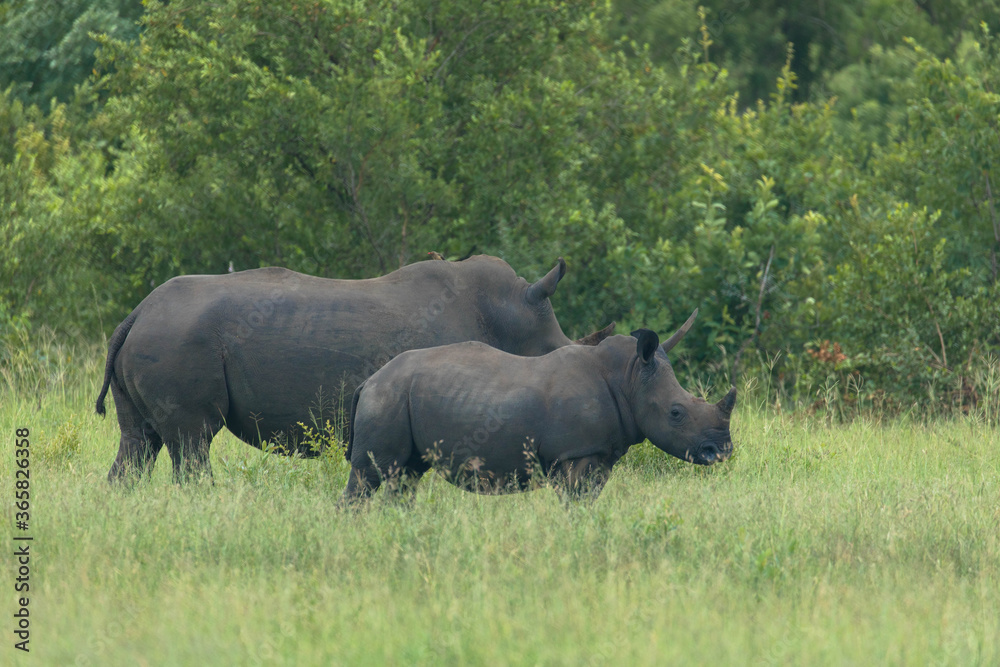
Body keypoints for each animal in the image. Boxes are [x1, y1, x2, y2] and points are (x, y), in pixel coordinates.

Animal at [95, 255, 614, 484]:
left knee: (139, 442)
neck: (511, 319)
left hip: (156, 337)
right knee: (192, 440)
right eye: (559, 355)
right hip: (178, 339)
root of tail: (137, 313)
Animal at [343, 309, 736, 501]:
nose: (722, 451)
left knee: (404, 476)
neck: (628, 377)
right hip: (387, 397)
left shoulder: (599, 452)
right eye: (676, 413)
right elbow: (576, 502)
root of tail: (369, 381)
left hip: (398, 396)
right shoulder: (575, 453)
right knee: (369, 476)